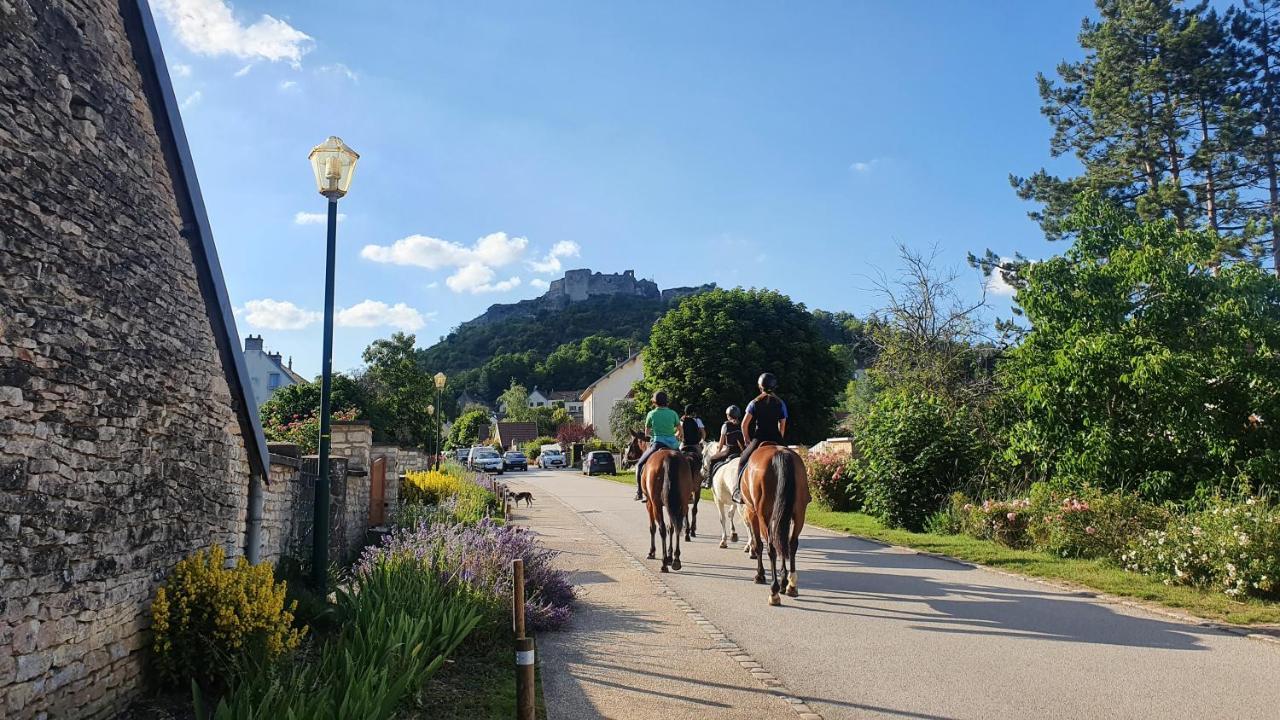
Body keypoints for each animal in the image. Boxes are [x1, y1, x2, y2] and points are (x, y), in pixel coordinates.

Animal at [627, 430, 691, 571]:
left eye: (630, 443)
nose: (625, 461)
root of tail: (669, 457)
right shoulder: (671, 505)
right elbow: (670, 527)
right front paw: (670, 556)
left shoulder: (650, 504)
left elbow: (653, 527)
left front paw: (653, 552)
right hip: (682, 503)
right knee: (677, 526)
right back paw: (676, 560)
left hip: (656, 504)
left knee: (661, 528)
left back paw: (663, 563)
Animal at [742, 440, 808, 602]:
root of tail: (779, 453)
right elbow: (782, 543)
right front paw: (784, 580)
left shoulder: (752, 513)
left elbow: (758, 545)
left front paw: (760, 575)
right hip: (799, 513)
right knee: (791, 544)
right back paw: (791, 585)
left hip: (762, 515)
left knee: (771, 547)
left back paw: (774, 591)